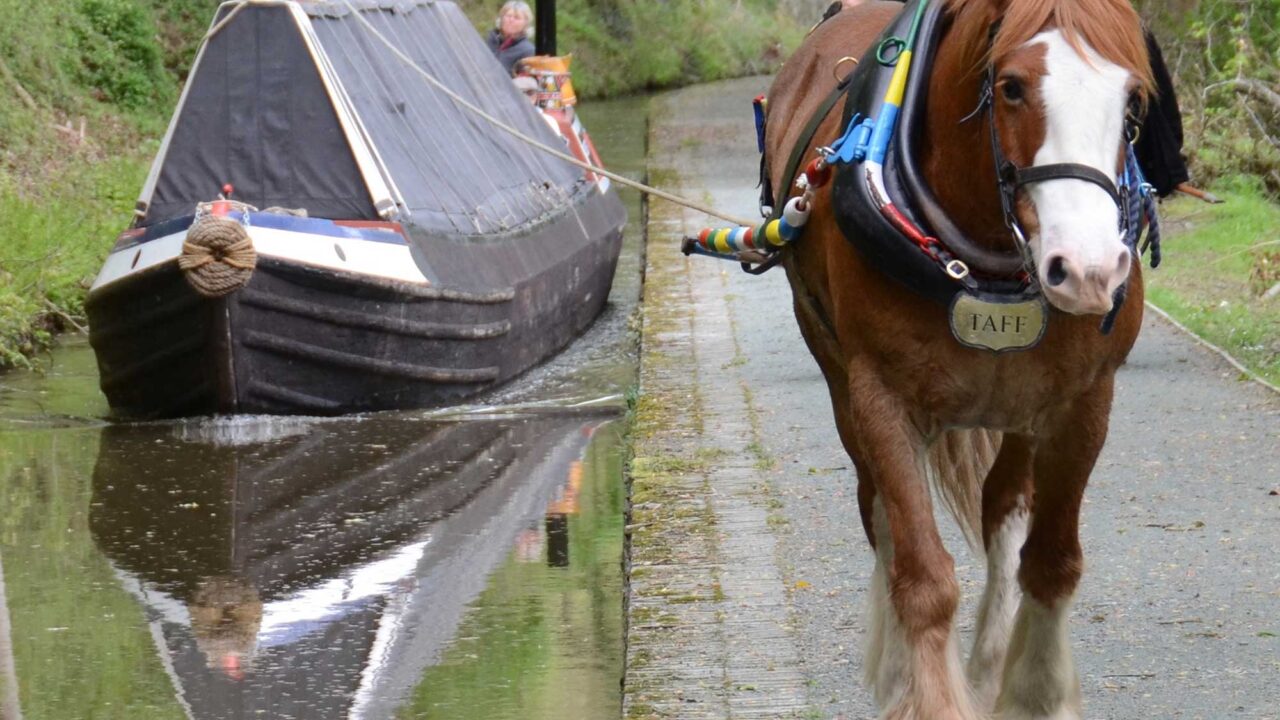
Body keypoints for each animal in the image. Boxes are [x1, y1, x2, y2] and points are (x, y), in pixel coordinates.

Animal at [762, 1, 1157, 717]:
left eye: (1133, 99)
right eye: (1012, 87)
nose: (1089, 269)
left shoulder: (1084, 401)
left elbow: (1052, 561)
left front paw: (1033, 692)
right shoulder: (880, 399)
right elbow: (921, 576)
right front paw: (926, 692)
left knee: (1002, 504)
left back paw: (993, 659)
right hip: (841, 382)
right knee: (880, 513)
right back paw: (899, 672)